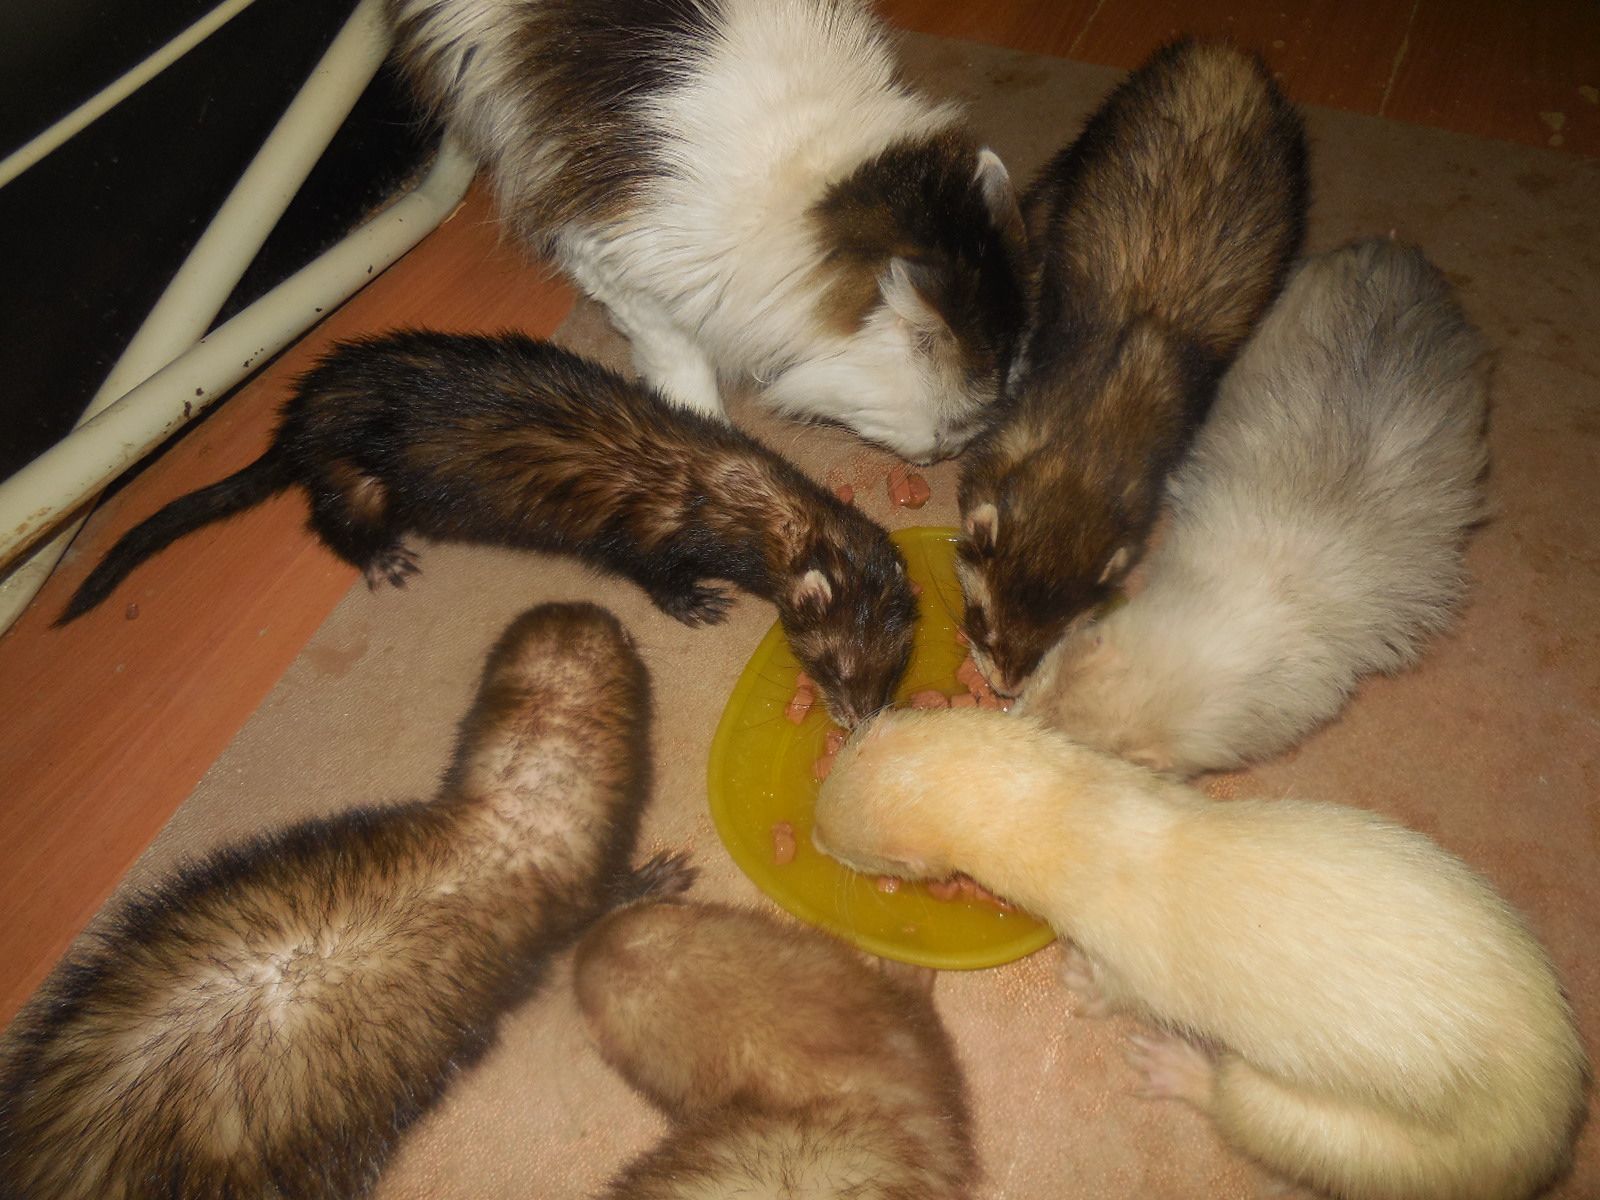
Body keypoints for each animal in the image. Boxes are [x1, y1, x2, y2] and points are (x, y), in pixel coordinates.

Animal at [57, 331, 916, 727]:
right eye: (833, 664)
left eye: (895, 665)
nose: (862, 720)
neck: (718, 480)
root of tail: (300, 415)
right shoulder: (643, 533)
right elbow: (650, 575)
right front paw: (696, 602)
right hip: (356, 481)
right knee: (326, 520)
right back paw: (383, 558)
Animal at [813, 709, 1588, 1200]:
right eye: (839, 759)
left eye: (850, 851)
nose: (816, 834)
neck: (1097, 824)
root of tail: (1555, 1123)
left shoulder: (1129, 954)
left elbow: (1118, 990)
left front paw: (1084, 984)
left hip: (1332, 1128)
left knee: (1243, 1109)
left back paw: (1178, 1067)